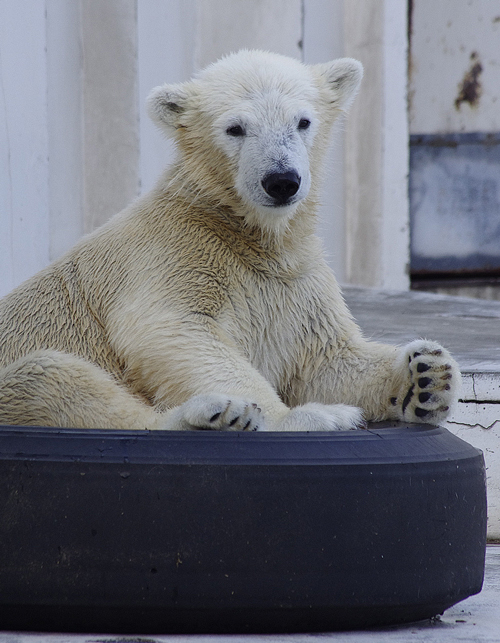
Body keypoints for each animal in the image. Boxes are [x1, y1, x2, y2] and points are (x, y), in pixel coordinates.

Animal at [0, 50, 458, 432]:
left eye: (303, 121)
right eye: (235, 128)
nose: (282, 180)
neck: (244, 233)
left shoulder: (296, 286)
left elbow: (326, 358)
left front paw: (425, 375)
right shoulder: (171, 257)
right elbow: (176, 330)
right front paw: (296, 415)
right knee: (48, 377)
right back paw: (214, 414)